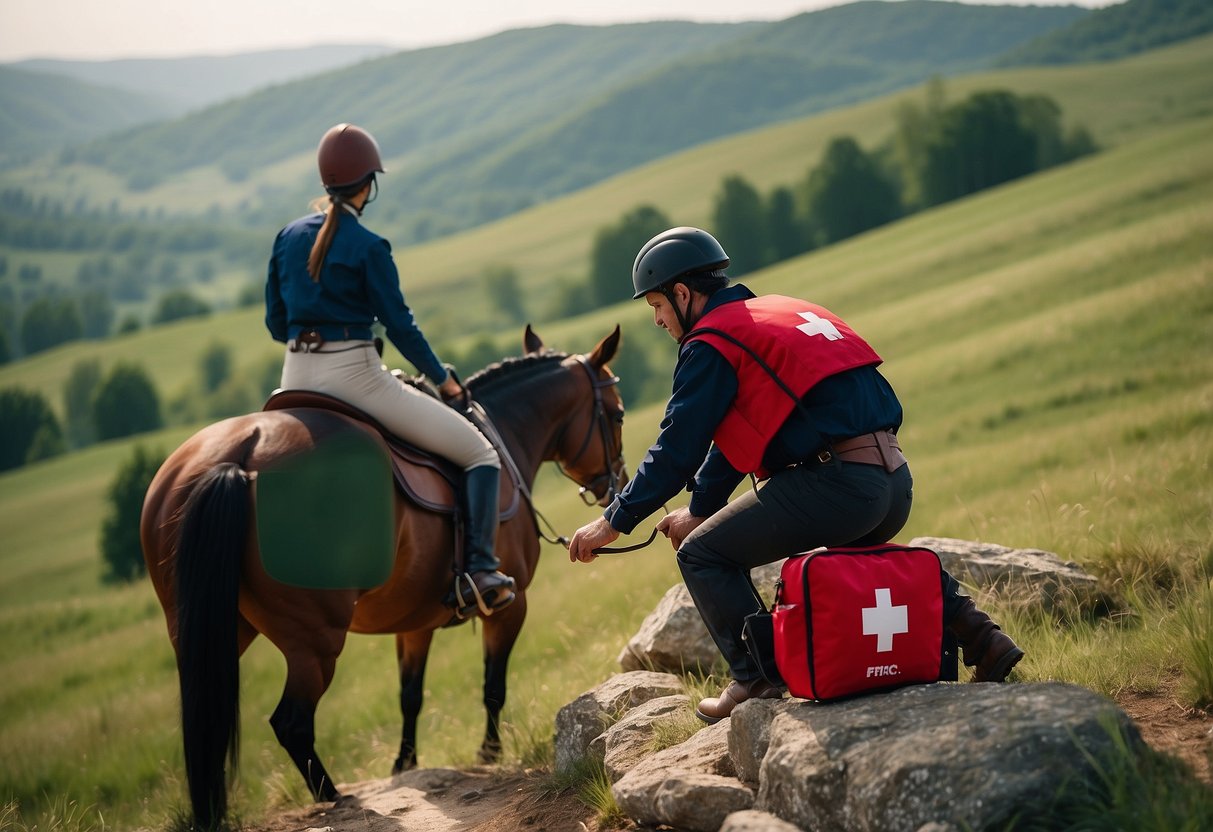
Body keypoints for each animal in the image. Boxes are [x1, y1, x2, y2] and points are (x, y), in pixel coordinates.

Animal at [141, 325, 625, 829]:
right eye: (617, 414)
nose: (616, 484)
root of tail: (240, 453)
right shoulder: (511, 607)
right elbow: (493, 686)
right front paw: (489, 753)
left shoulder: (414, 622)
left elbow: (409, 695)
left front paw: (404, 764)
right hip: (313, 641)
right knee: (292, 722)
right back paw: (333, 796)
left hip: (210, 633)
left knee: (205, 722)